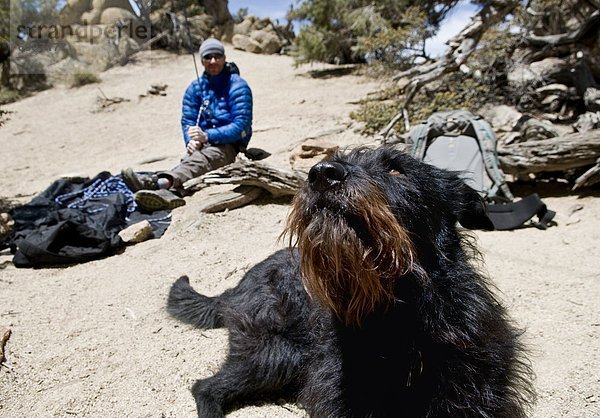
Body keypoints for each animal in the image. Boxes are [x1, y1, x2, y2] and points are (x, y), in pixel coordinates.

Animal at [165, 147, 536, 418]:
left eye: (396, 170)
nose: (321, 174)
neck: (394, 314)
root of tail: (235, 287)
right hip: (273, 353)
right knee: (206, 387)